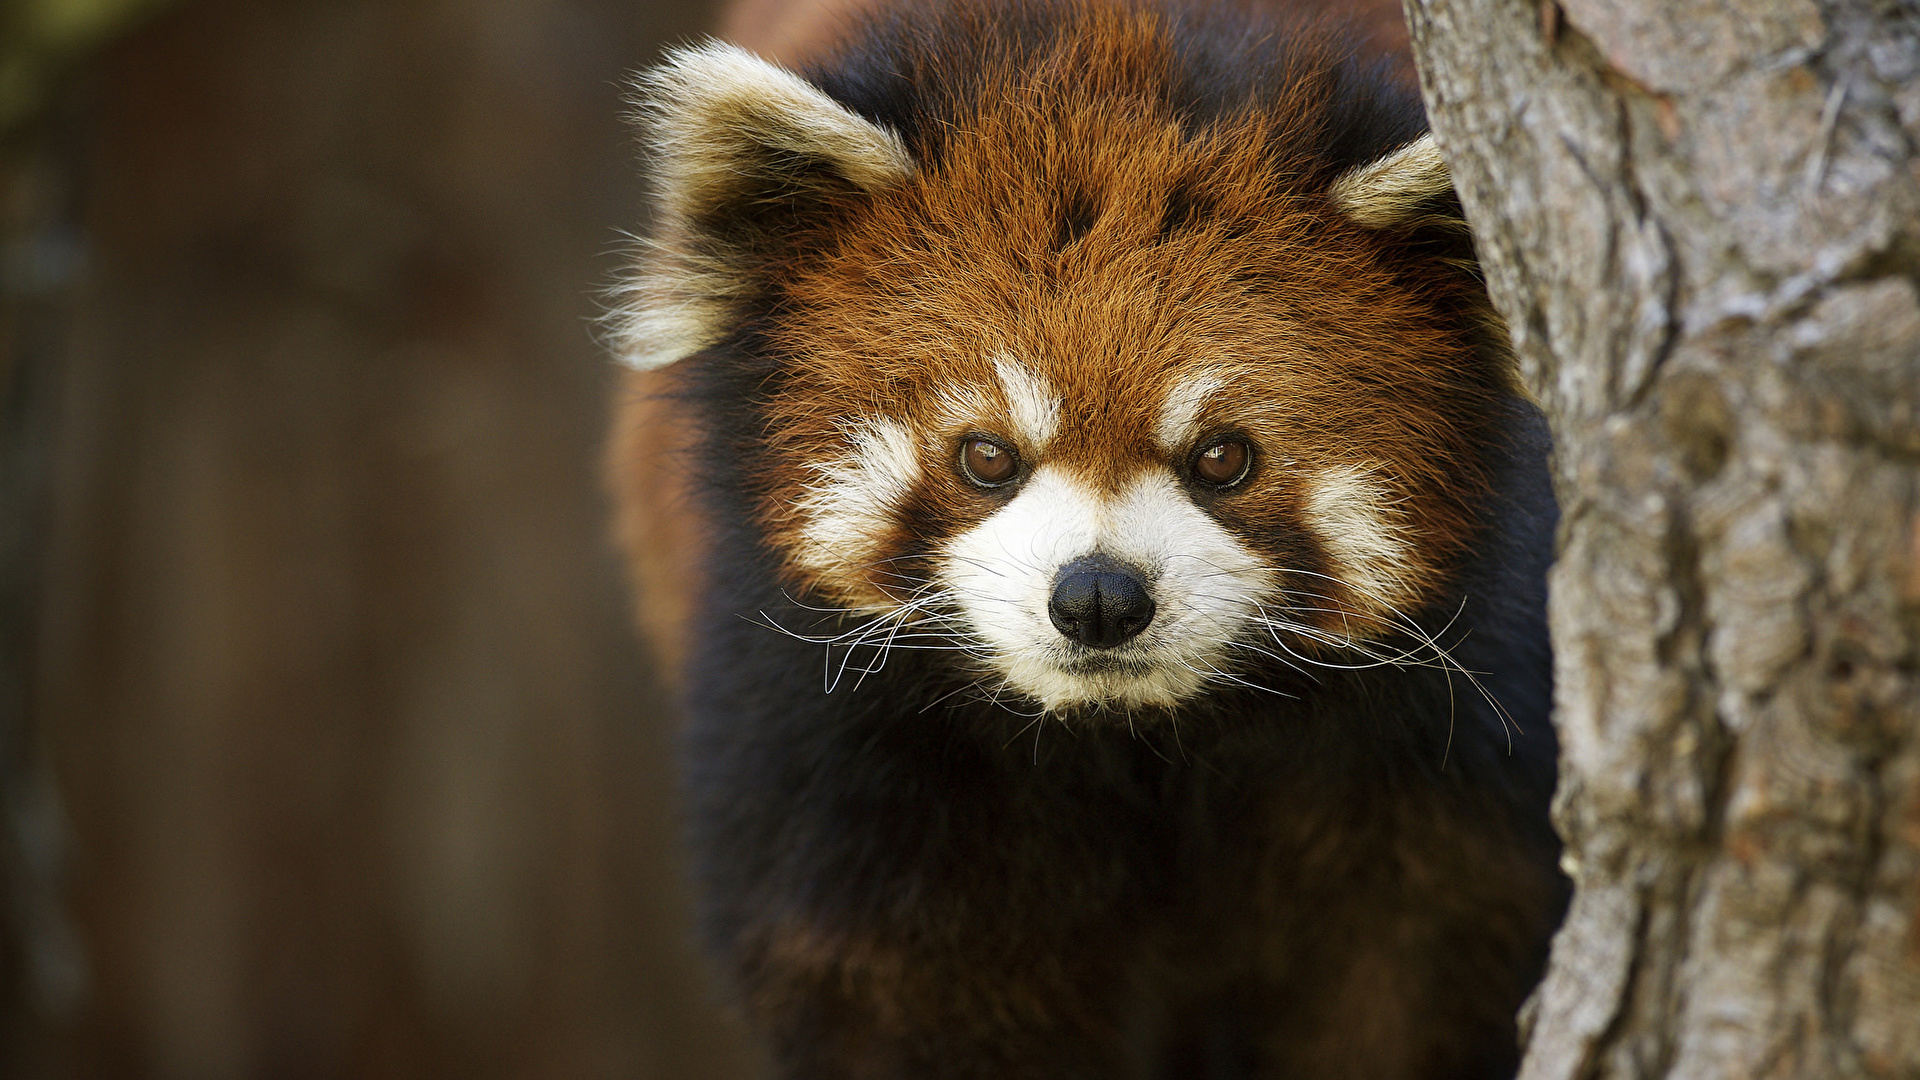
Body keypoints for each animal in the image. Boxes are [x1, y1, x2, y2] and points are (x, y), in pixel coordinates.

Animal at [606, 4, 1566, 1068]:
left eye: (1222, 457)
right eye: (987, 455)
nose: (1099, 597)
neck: (1134, 741)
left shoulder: (1439, 756)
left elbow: (1405, 984)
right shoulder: (844, 765)